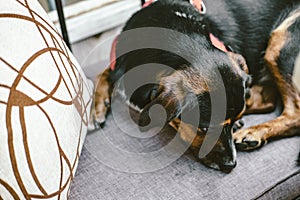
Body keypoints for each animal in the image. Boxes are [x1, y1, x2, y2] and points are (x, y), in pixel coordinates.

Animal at [91, 0, 300, 172]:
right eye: (205, 129)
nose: (231, 165)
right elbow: (103, 73)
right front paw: (96, 108)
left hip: (280, 42)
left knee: (293, 114)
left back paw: (253, 132)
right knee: (268, 99)